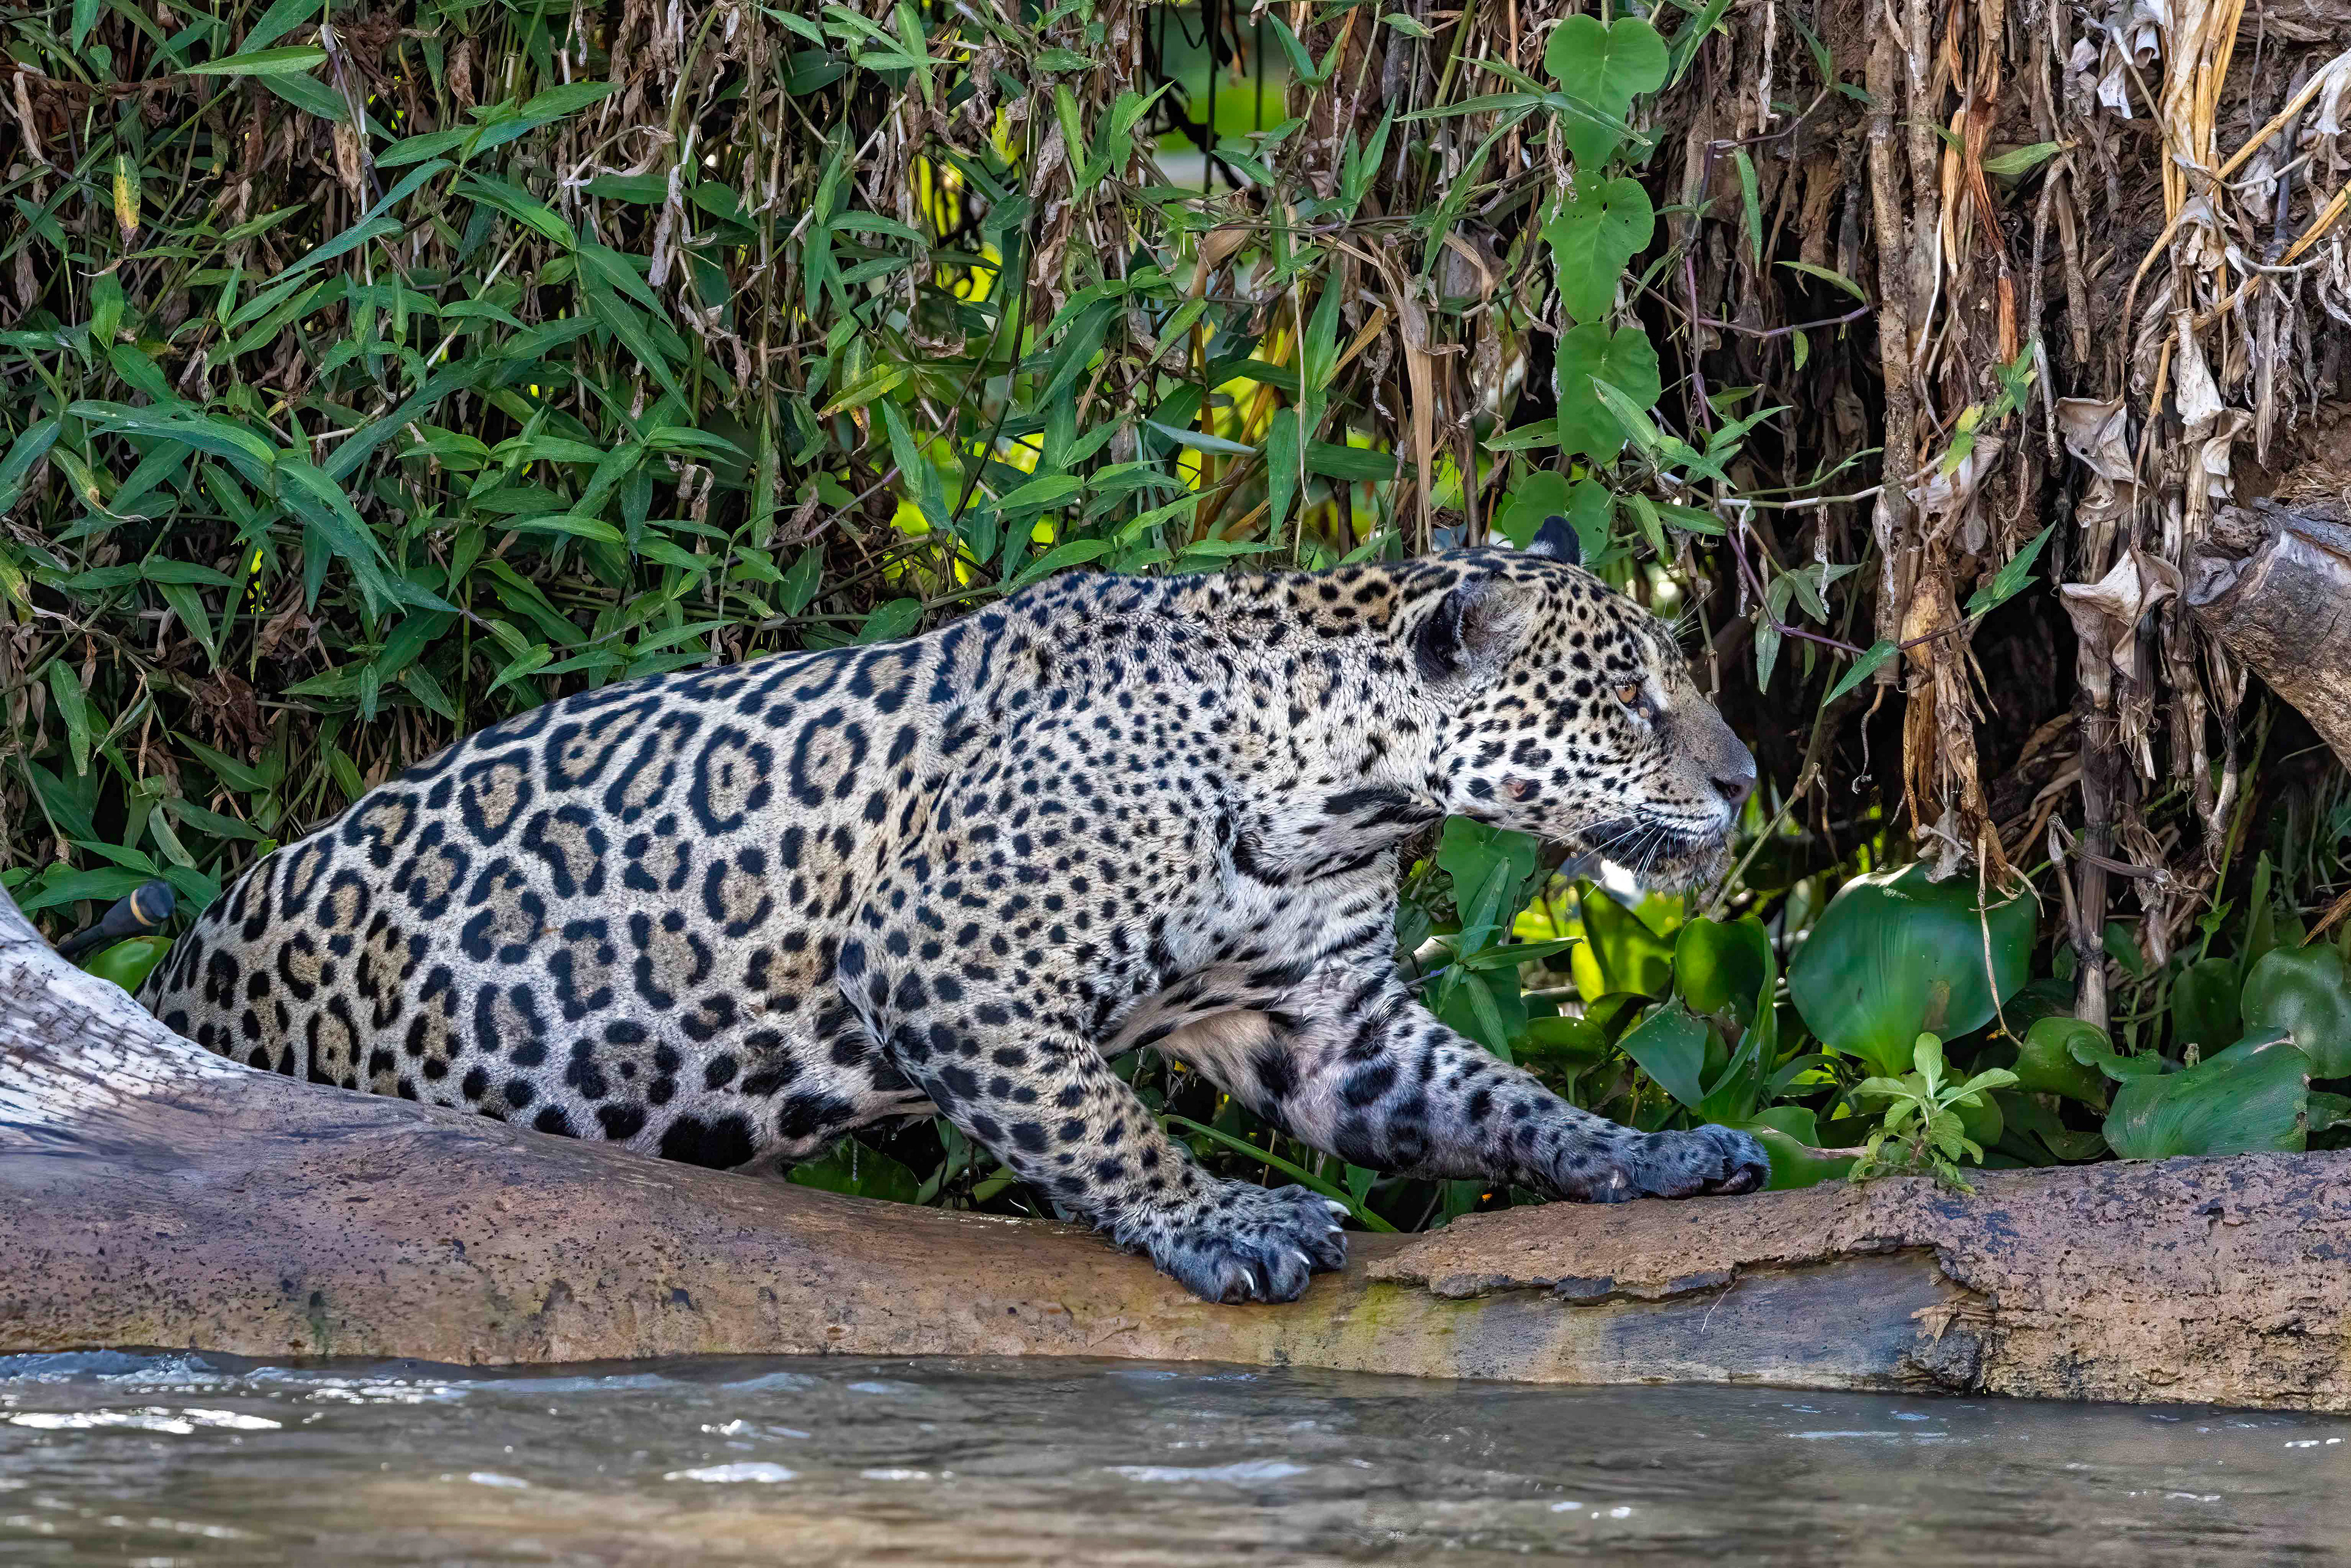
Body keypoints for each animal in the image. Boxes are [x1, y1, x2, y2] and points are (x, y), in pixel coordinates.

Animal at [140, 517, 1770, 1305]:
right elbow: (1100, 1119)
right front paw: (1226, 1221)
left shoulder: (1325, 1018)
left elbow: (1502, 1100)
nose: (1749, 777)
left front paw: (1655, 1152)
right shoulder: (943, 955)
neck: (1335, 790)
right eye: (1634, 698)